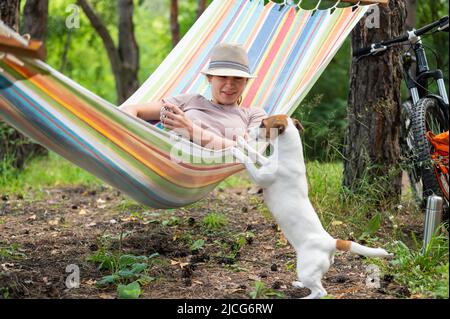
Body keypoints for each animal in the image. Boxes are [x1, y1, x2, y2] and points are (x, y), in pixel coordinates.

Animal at [230, 115, 392, 300]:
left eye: (263, 124)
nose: (248, 131)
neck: (287, 154)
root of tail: (331, 242)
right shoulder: (264, 162)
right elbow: (255, 154)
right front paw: (241, 142)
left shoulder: (259, 177)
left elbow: (249, 161)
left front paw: (236, 151)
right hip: (313, 270)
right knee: (317, 283)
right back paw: (300, 284)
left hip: (305, 268)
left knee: (320, 292)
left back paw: (304, 296)